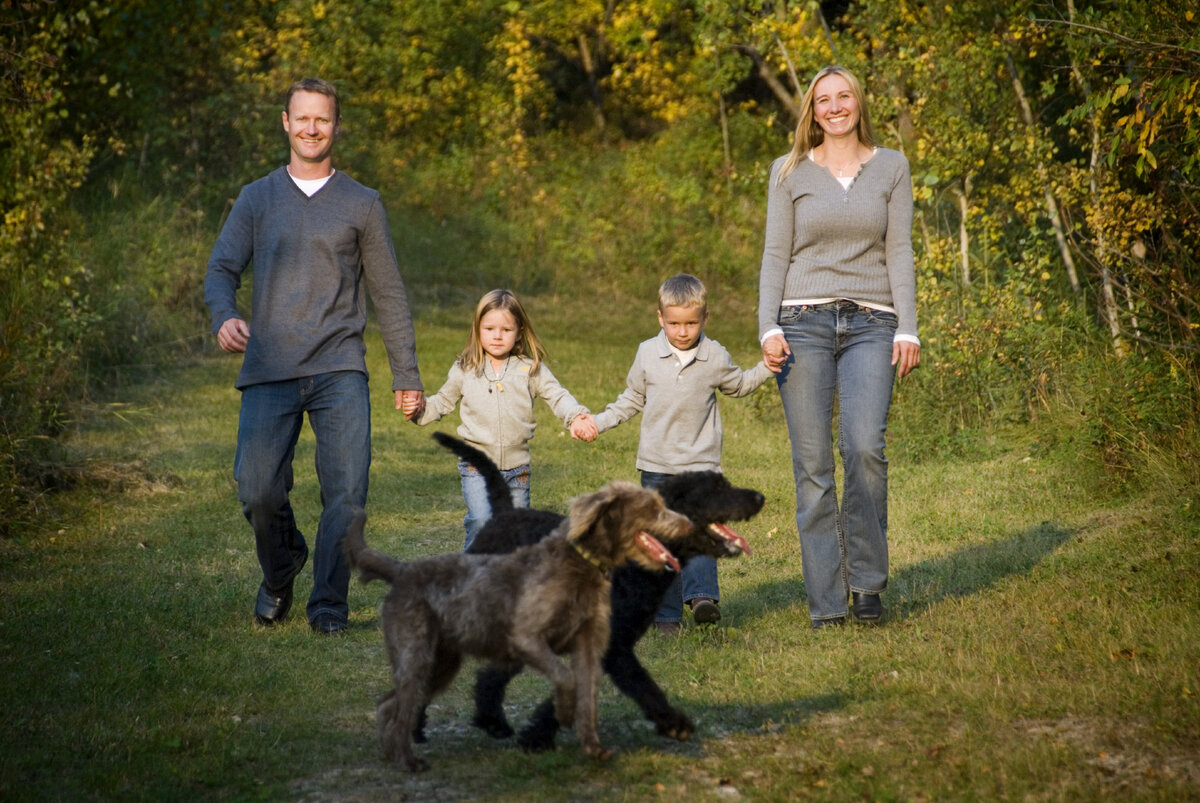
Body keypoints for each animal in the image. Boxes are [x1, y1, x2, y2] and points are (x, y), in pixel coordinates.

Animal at [343, 482, 691, 768]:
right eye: (653, 509)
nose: (688, 524)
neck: (579, 564)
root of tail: (402, 571)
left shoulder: (591, 649)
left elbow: (588, 697)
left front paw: (593, 747)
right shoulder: (528, 639)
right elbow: (565, 678)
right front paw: (564, 712)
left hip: (441, 664)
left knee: (388, 703)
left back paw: (392, 753)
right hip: (416, 655)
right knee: (400, 706)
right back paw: (407, 759)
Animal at [432, 432, 763, 753]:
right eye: (717, 488)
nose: (760, 497)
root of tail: (503, 514)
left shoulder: (612, 644)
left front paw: (537, 735)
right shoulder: (615, 646)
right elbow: (642, 684)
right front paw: (674, 722)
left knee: (492, 674)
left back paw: (492, 720)